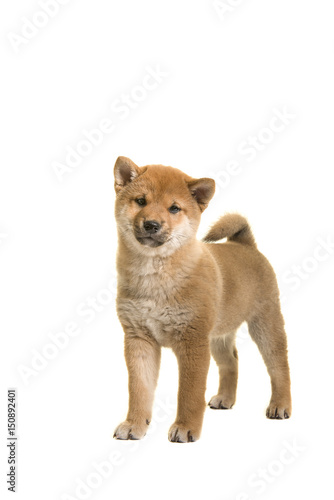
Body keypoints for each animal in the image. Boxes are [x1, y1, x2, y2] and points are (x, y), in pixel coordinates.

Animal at [112, 156, 290, 442]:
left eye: (174, 208)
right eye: (140, 201)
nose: (151, 224)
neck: (154, 275)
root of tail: (245, 245)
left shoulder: (192, 340)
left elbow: (189, 392)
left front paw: (186, 428)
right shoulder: (139, 339)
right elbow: (139, 389)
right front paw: (135, 424)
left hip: (265, 324)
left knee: (279, 366)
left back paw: (281, 405)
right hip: (218, 336)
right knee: (231, 362)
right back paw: (225, 399)